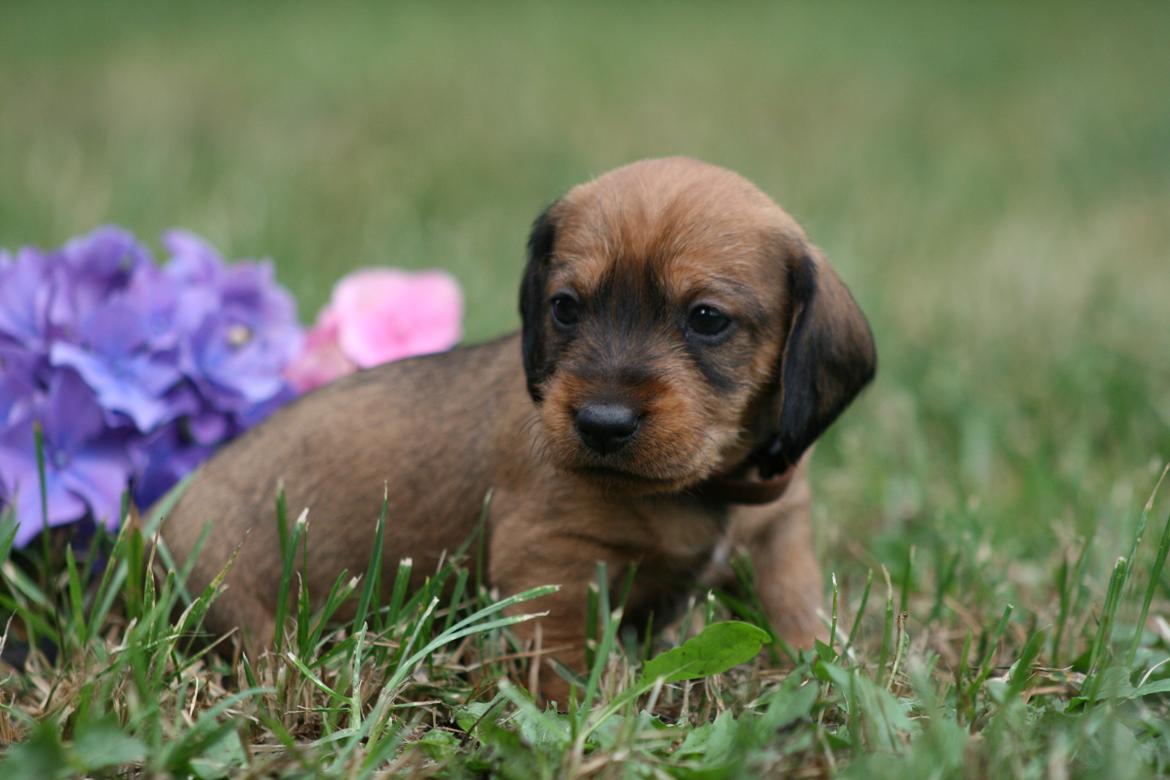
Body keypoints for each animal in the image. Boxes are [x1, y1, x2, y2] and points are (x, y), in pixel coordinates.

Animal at [162, 155, 879, 706]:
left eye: (707, 318)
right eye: (565, 308)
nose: (602, 425)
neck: (703, 487)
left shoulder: (779, 541)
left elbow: (796, 617)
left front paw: (827, 677)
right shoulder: (550, 559)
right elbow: (563, 658)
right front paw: (591, 712)